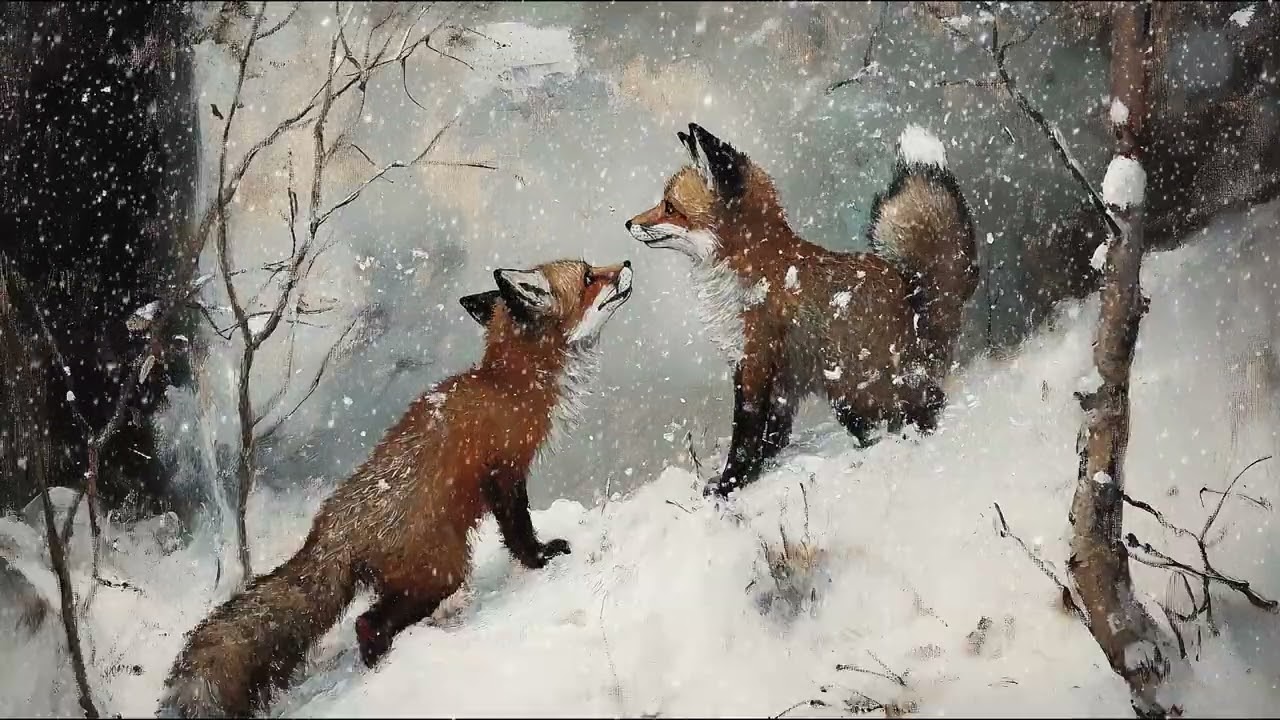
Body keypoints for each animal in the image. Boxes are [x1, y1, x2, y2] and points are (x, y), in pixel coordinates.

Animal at [158, 258, 635, 718]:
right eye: (589, 276)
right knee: (367, 623)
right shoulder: (504, 475)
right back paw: (386, 661)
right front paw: (541, 559)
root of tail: (330, 532)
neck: (507, 385)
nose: (628, 263)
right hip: (442, 571)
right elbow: (519, 533)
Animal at [626, 123, 977, 498]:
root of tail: (913, 302)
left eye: (669, 207)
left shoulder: (755, 361)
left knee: (929, 404)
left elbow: (746, 435)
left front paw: (729, 485)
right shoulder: (781, 378)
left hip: (859, 388)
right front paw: (758, 472)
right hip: (847, 398)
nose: (629, 223)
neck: (751, 270)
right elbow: (774, 434)